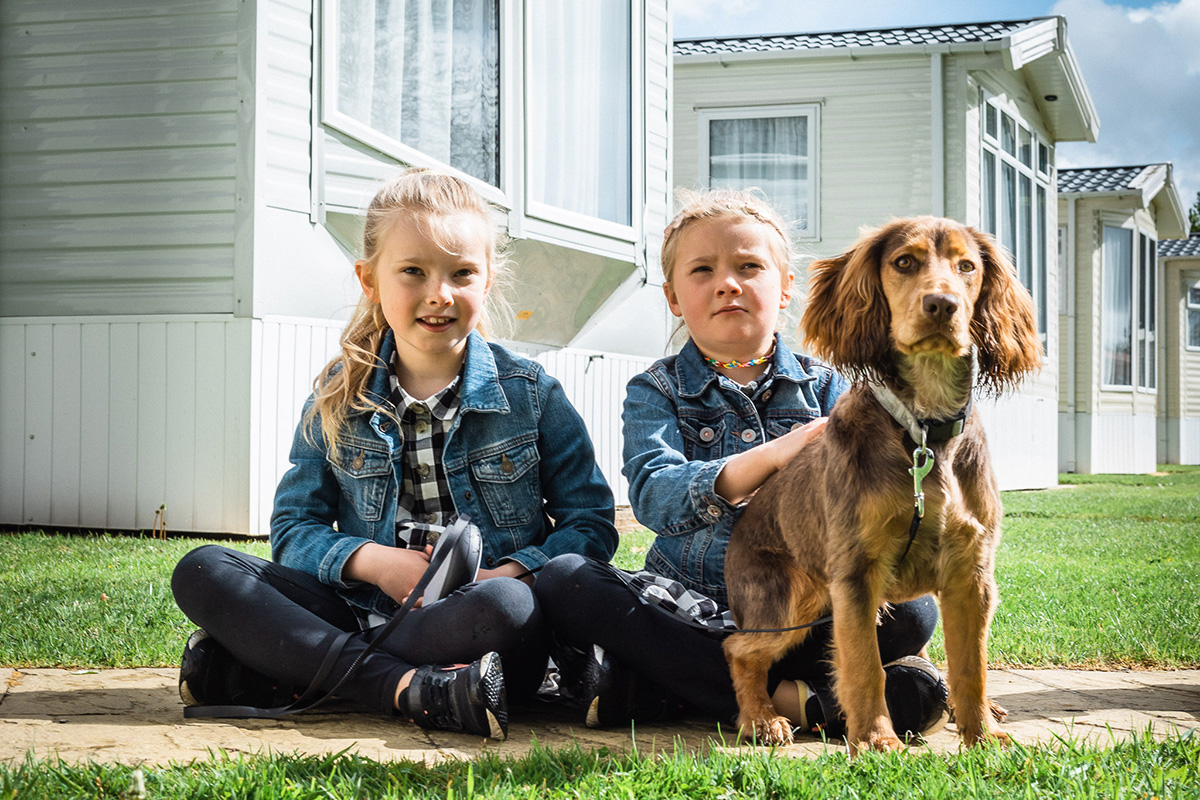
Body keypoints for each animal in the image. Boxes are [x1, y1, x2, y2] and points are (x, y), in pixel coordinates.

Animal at [723, 216, 1042, 753]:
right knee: (738, 648)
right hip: (787, 602)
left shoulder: (971, 574)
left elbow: (971, 667)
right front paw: (876, 741)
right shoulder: (856, 574)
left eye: (967, 267)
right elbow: (865, 666)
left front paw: (982, 734)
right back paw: (760, 720)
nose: (942, 305)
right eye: (904, 262)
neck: (923, 431)